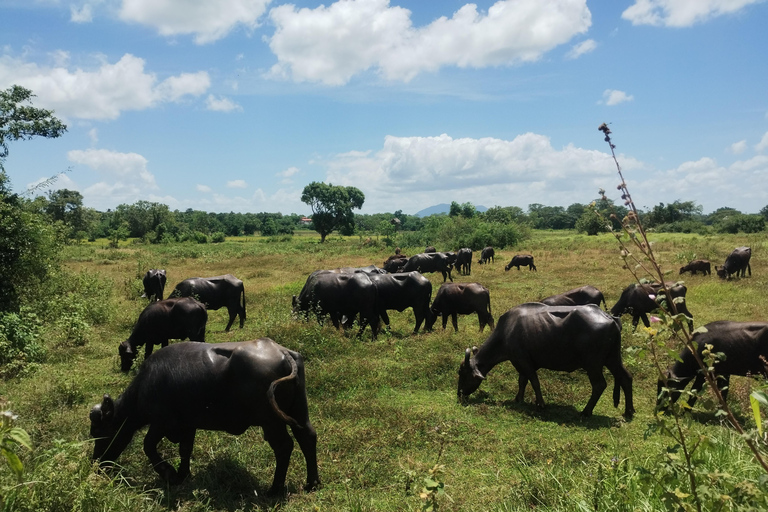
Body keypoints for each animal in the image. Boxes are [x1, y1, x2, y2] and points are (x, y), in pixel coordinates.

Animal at [92, 338, 318, 494]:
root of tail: (282, 351)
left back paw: (275, 489)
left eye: (100, 433)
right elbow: (185, 449)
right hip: (298, 411)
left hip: (271, 420)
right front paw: (183, 474)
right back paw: (312, 483)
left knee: (284, 447)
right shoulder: (188, 424)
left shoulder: (161, 422)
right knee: (307, 436)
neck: (144, 387)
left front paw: (169, 474)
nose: (97, 463)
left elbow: (148, 446)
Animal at [460, 302, 632, 418]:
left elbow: (534, 382)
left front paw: (540, 404)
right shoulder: (524, 363)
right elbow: (522, 381)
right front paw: (518, 398)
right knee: (626, 378)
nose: (459, 394)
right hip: (613, 359)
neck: (507, 331)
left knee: (599, 385)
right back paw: (629, 411)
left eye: (462, 373)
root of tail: (610, 317)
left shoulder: (523, 361)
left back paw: (586, 411)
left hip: (593, 364)